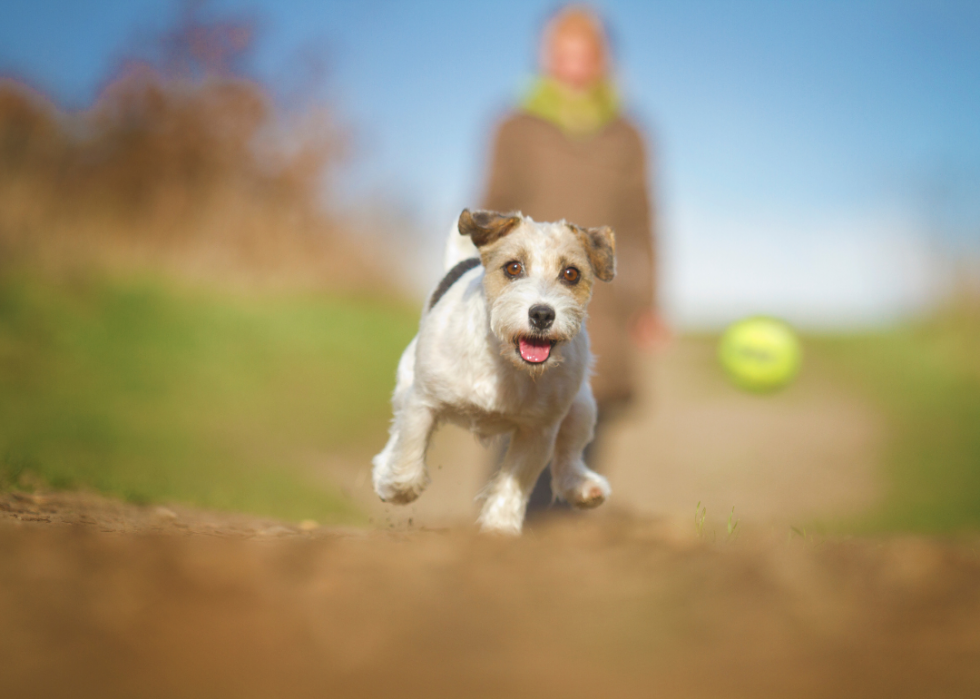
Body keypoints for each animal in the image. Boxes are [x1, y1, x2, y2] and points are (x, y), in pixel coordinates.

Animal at [372, 209, 616, 536]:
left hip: (582, 407)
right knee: (397, 431)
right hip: (404, 384)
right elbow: (409, 452)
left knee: (569, 455)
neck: (505, 363)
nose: (542, 314)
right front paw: (394, 485)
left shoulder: (538, 431)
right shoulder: (422, 401)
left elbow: (513, 483)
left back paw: (584, 486)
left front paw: (499, 530)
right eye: (513, 267)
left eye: (571, 273)